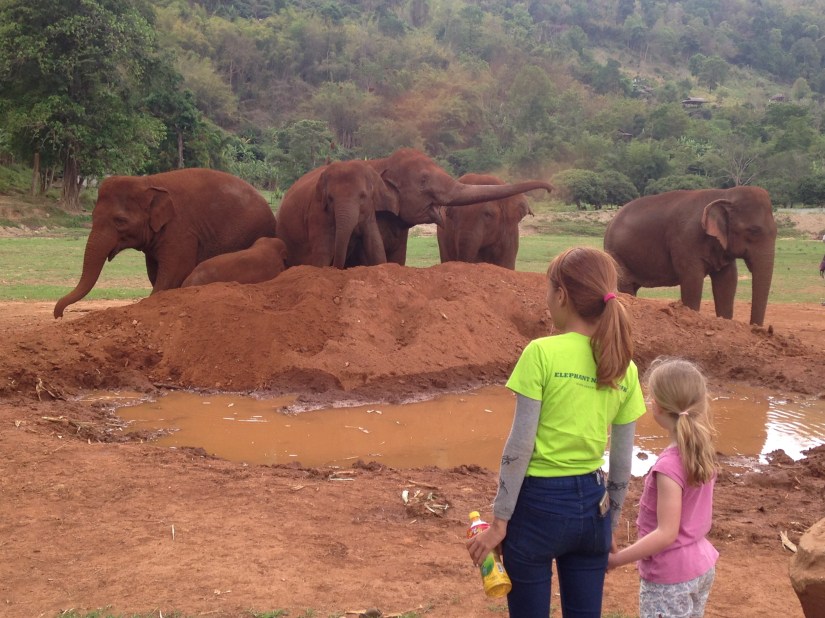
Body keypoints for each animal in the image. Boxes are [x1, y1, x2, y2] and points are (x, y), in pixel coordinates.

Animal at [54, 168, 277, 318]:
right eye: (92, 216)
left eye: (120, 221)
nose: (59, 315)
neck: (149, 181)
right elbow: (155, 272)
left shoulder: (182, 231)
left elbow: (174, 272)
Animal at [603, 186, 776, 325]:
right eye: (753, 231)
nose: (755, 327)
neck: (724, 193)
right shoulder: (686, 239)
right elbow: (692, 279)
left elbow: (727, 281)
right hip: (616, 255)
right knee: (626, 287)